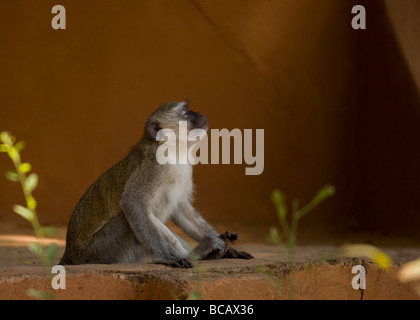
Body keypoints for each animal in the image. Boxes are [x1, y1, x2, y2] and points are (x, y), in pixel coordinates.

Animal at [60, 101, 253, 266]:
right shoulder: (155, 168)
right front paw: (165, 257)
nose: (200, 114)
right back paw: (200, 253)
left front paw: (223, 244)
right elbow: (133, 204)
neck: (173, 151)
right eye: (185, 112)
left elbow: (182, 211)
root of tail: (70, 253)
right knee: (126, 221)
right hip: (100, 251)